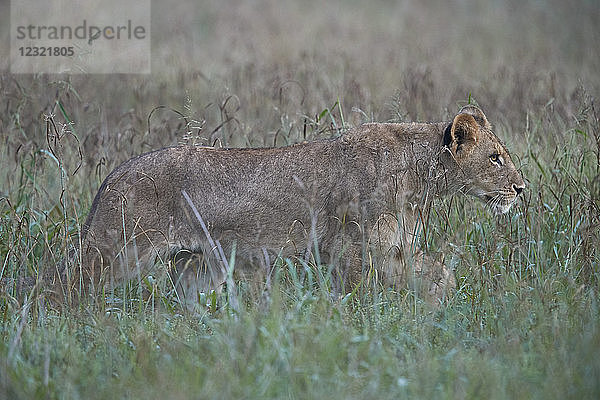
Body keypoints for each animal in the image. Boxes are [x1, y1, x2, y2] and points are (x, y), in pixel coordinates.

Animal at [8, 104, 524, 306]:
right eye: (497, 158)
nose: (522, 190)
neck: (419, 174)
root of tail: (113, 175)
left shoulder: (392, 249)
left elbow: (439, 275)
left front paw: (441, 314)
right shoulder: (350, 249)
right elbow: (356, 298)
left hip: (200, 264)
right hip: (116, 251)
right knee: (57, 286)